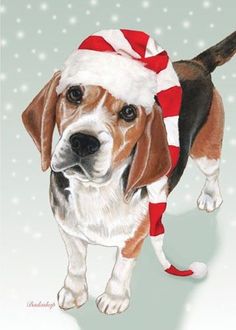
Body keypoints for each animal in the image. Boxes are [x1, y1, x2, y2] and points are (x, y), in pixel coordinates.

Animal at [21, 32, 235, 316]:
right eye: (74, 93)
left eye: (129, 112)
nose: (83, 142)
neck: (94, 190)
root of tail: (196, 64)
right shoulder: (68, 230)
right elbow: (76, 264)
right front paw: (74, 291)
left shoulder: (134, 240)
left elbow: (120, 270)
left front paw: (114, 298)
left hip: (205, 151)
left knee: (213, 172)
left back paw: (210, 196)